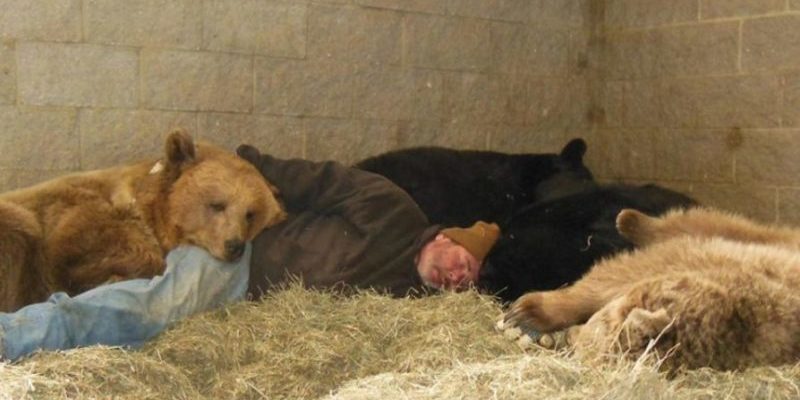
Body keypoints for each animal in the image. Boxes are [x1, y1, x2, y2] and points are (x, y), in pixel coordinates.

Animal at [506, 206, 800, 372]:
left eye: (594, 336)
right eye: (602, 322)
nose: (571, 337)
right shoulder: (713, 258)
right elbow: (619, 273)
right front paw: (529, 310)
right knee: (703, 222)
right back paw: (632, 220)